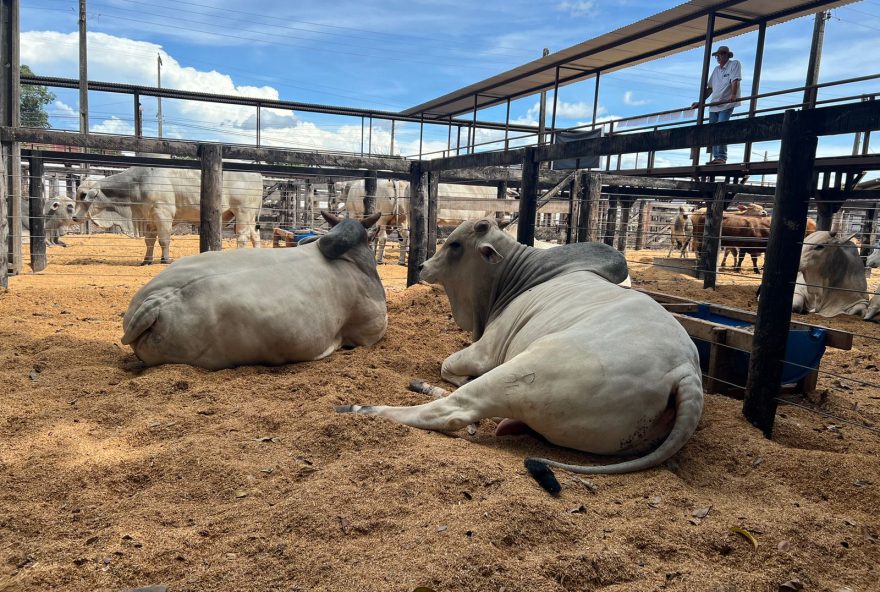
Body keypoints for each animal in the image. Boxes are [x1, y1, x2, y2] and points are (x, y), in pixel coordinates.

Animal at [73, 169, 262, 266]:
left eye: (83, 195)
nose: (74, 217)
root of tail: (257, 175)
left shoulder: (162, 215)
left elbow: (164, 240)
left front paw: (165, 259)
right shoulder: (149, 220)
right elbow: (149, 242)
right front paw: (147, 260)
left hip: (243, 212)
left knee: (243, 236)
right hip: (250, 217)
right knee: (255, 235)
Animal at [336, 220, 700, 492]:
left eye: (455, 245)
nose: (423, 266)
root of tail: (686, 373)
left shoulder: (486, 351)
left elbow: (447, 366)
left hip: (522, 371)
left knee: (452, 410)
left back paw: (358, 408)